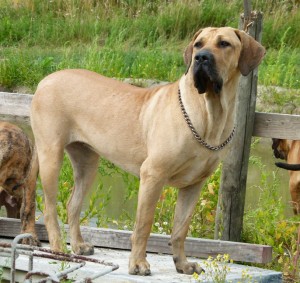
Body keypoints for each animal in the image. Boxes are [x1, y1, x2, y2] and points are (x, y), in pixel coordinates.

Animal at [30, 27, 264, 276]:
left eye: (224, 44)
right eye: (198, 44)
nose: (201, 58)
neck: (210, 111)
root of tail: (44, 80)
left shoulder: (194, 184)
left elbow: (180, 228)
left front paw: (182, 264)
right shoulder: (153, 174)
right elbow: (144, 225)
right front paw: (138, 264)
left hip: (87, 163)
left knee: (72, 204)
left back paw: (77, 245)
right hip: (51, 155)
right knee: (49, 208)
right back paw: (57, 248)